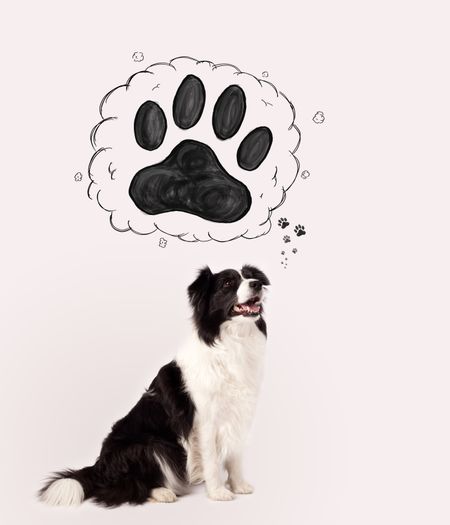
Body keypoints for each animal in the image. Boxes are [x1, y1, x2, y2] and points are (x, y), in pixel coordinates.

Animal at [38, 264, 268, 506]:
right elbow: (212, 460)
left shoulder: (238, 414)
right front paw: (217, 492)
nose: (257, 284)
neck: (232, 341)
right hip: (151, 444)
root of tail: (98, 467)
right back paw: (162, 492)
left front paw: (239, 485)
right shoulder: (205, 420)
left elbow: (235, 456)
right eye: (227, 283)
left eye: (249, 277)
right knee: (128, 486)